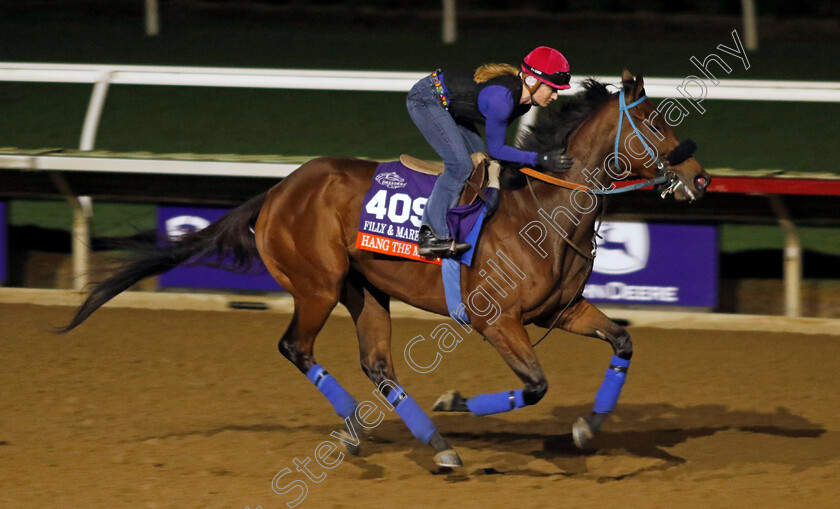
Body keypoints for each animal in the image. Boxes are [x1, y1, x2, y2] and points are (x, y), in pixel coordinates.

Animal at [59, 71, 708, 468]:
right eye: (656, 123)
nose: (699, 177)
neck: (544, 212)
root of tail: (278, 190)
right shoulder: (497, 320)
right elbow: (534, 385)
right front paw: (456, 401)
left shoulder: (563, 310)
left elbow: (621, 340)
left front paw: (585, 429)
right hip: (317, 285)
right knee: (296, 347)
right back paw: (364, 429)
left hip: (365, 290)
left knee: (378, 366)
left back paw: (434, 444)